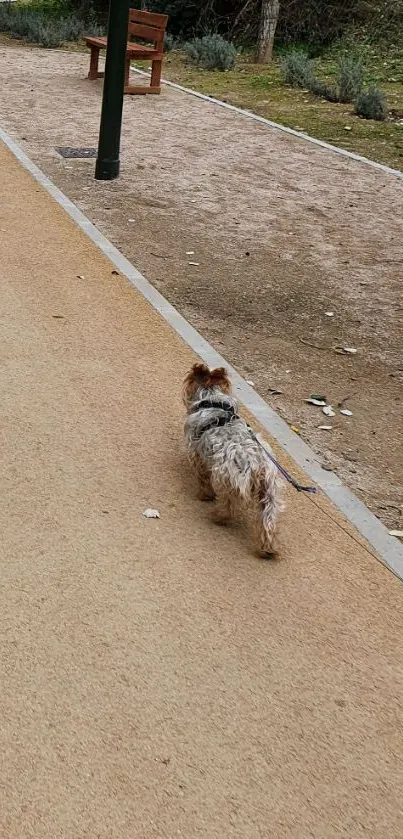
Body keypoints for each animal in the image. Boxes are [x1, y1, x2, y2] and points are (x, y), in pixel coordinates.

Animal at [184, 362, 284, 556]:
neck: (213, 401)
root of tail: (258, 464)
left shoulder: (196, 453)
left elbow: (202, 476)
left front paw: (205, 495)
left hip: (228, 478)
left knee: (229, 504)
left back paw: (218, 516)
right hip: (270, 490)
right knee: (268, 517)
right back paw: (268, 548)